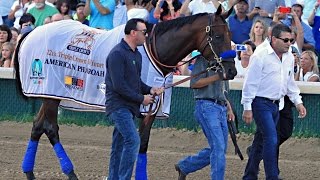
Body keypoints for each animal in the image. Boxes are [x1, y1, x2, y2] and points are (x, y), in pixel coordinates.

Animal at [14, 4, 235, 179]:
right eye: (217, 36)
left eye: (231, 37)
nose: (231, 70)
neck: (153, 50)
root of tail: (31, 33)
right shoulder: (143, 105)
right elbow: (135, 142)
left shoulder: (152, 106)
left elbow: (141, 143)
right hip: (51, 94)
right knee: (50, 128)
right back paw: (70, 172)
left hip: (47, 94)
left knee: (37, 126)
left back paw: (29, 172)